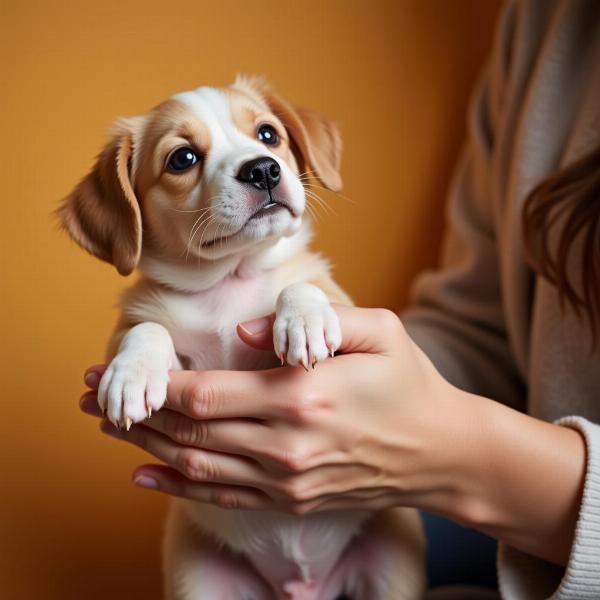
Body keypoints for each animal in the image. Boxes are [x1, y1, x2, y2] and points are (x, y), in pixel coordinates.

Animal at [56, 77, 422, 596]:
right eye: (183, 159)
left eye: (268, 135)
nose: (263, 169)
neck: (230, 280)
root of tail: (301, 586)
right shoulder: (153, 335)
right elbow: (147, 327)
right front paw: (131, 375)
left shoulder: (352, 320)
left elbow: (301, 285)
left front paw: (305, 321)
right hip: (198, 578)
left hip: (392, 568)